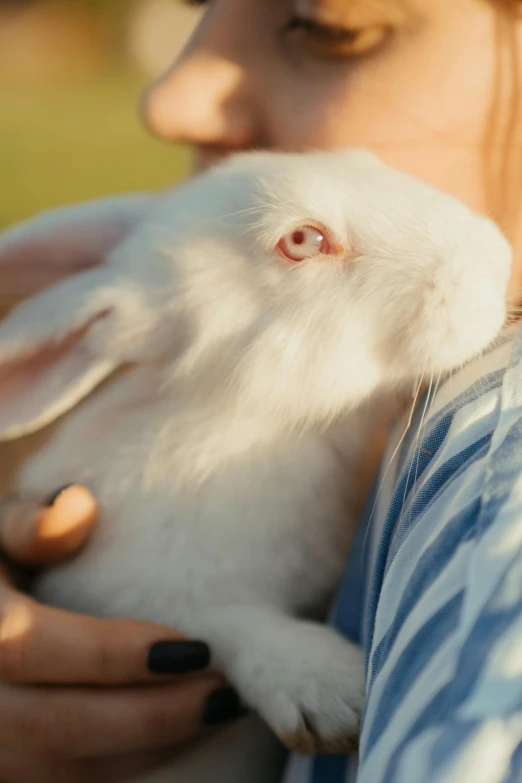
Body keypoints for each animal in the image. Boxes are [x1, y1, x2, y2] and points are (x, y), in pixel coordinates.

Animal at [0, 149, 508, 783]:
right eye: (302, 240)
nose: (494, 262)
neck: (259, 420)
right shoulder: (121, 592)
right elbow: (220, 624)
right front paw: (329, 689)